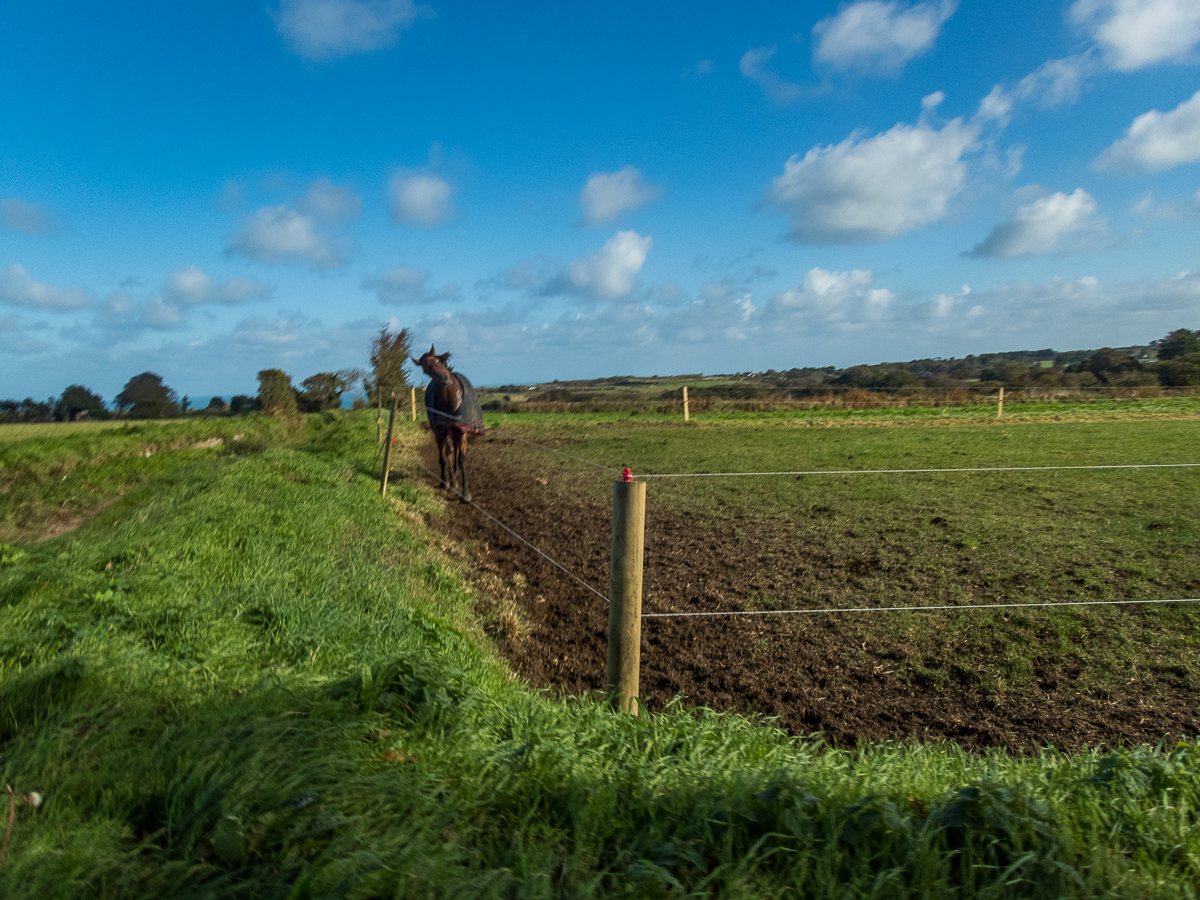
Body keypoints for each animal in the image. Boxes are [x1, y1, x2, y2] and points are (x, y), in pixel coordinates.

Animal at [415, 348, 484, 504]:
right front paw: (446, 482)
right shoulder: (440, 432)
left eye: (437, 360)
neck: (450, 400)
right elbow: (444, 457)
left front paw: (466, 494)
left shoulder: (462, 431)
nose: (444, 379)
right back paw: (452, 481)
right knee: (450, 452)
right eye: (425, 368)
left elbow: (461, 458)